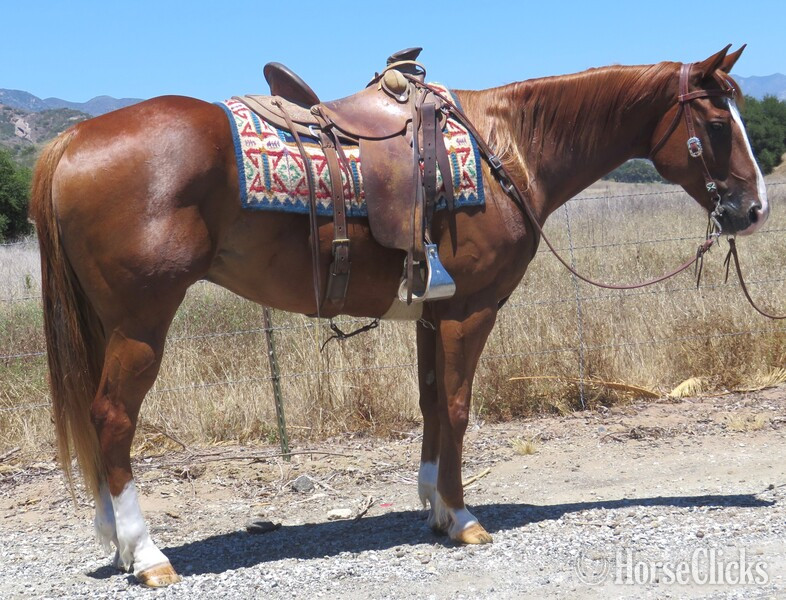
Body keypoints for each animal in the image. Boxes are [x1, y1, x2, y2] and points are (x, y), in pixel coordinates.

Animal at [29, 45, 768, 586]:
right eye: (717, 125)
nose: (754, 209)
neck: (508, 147)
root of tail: (73, 141)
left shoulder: (431, 315)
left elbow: (432, 403)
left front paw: (434, 508)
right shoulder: (471, 310)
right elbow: (461, 408)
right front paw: (464, 518)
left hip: (105, 326)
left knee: (96, 423)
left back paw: (118, 545)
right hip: (140, 323)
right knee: (112, 420)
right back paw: (147, 554)